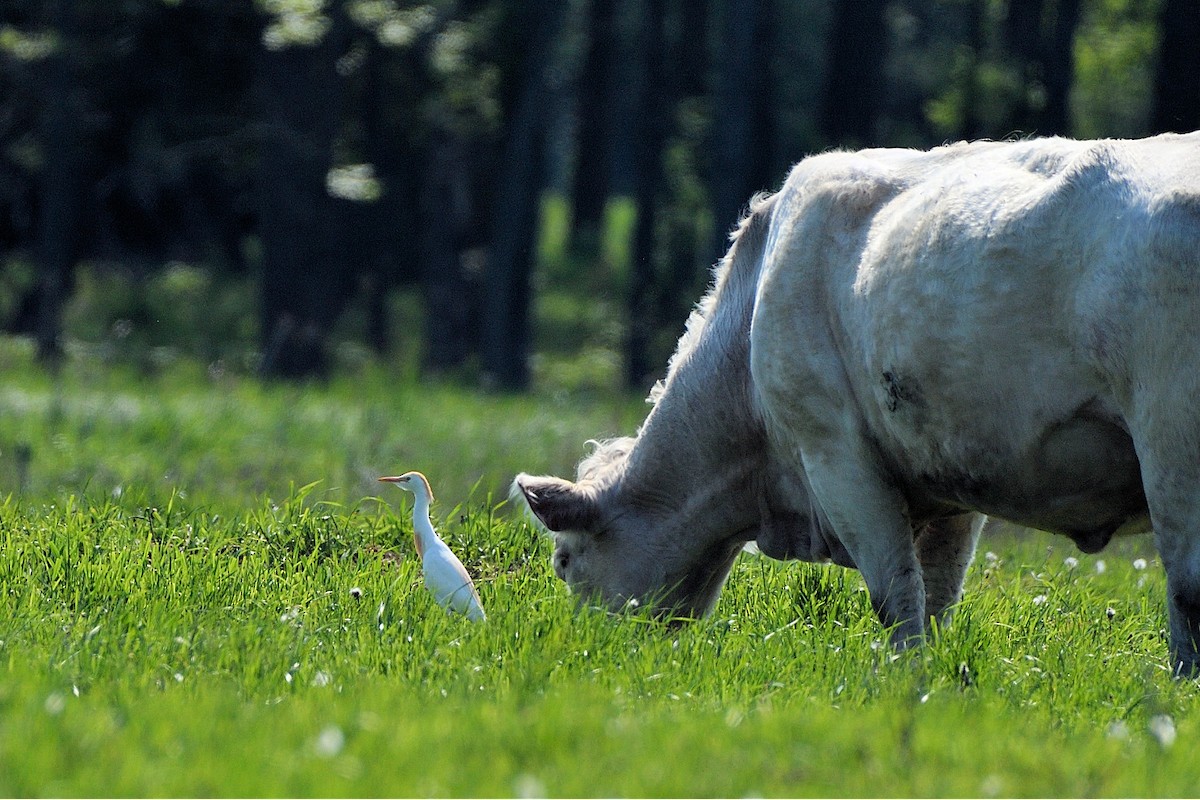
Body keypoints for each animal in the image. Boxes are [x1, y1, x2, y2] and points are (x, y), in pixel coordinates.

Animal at [515, 133, 1200, 674]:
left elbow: (896, 597)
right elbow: (938, 597)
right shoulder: (952, 484)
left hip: (1172, 444)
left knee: (1186, 585)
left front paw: (903, 684)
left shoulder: (836, 458)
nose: (591, 654)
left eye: (564, 561)